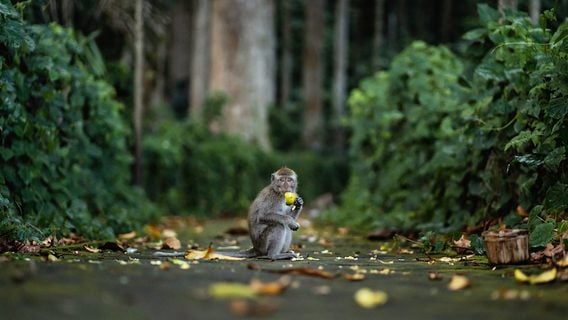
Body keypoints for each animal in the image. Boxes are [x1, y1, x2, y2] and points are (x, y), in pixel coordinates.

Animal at [152, 168, 302, 260]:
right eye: (282, 180)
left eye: (289, 180)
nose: (286, 186)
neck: (280, 194)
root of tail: (255, 248)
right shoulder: (272, 198)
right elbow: (264, 216)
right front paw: (289, 220)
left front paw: (299, 204)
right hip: (263, 243)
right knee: (278, 226)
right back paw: (274, 255)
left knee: (285, 228)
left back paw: (283, 252)